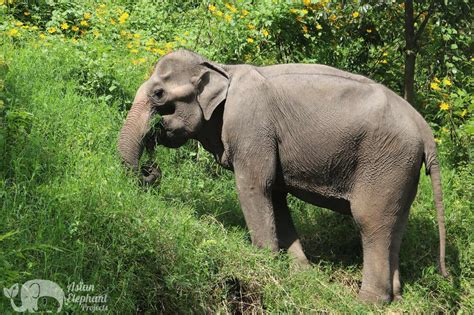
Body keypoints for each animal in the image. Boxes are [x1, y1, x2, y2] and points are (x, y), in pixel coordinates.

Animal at [118, 49, 448, 304]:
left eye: (159, 94)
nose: (151, 169)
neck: (222, 69)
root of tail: (424, 129)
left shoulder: (251, 126)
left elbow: (254, 186)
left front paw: (262, 263)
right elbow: (275, 195)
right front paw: (300, 272)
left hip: (384, 161)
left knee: (371, 221)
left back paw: (368, 302)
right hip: (401, 169)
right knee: (396, 225)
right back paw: (396, 298)